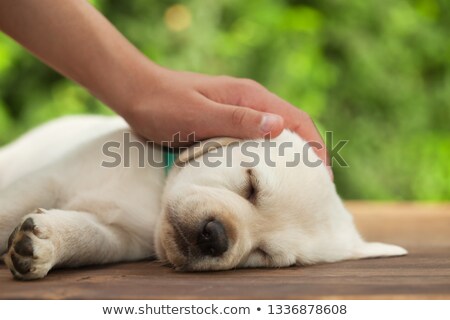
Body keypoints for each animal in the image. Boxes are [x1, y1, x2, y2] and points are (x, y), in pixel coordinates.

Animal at [0, 115, 406, 280]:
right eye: (251, 184)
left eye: (265, 255)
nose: (216, 237)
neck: (154, 199)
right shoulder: (49, 178)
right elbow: (9, 207)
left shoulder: (122, 237)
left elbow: (90, 238)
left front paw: (43, 245)